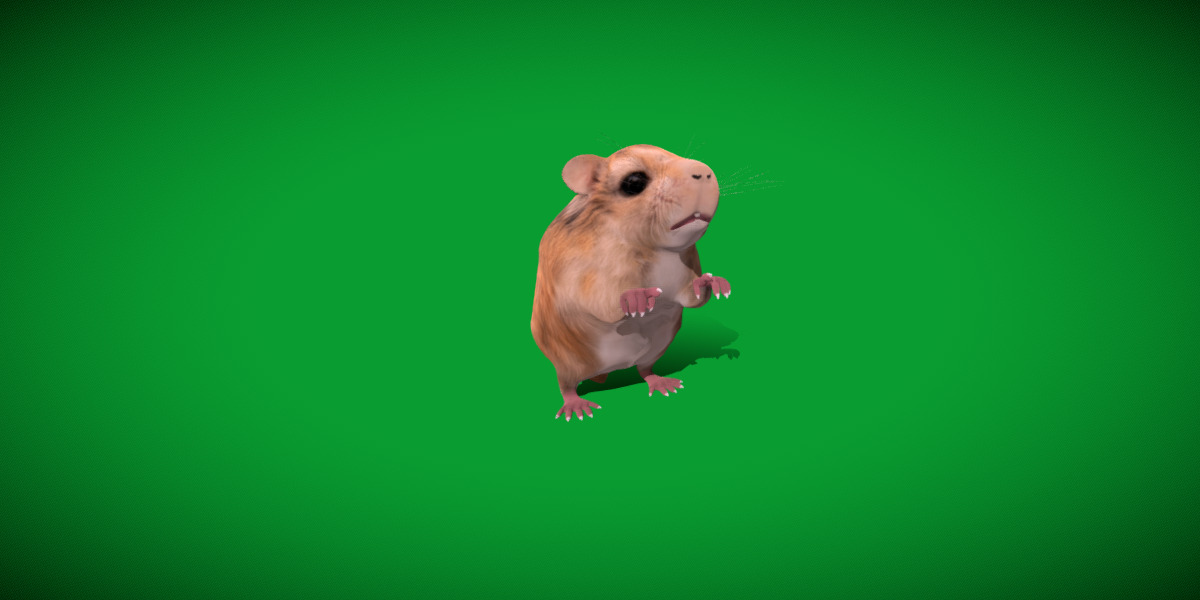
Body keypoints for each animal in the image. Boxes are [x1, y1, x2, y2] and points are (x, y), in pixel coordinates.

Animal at [531, 144, 732, 421]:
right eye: (634, 182)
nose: (702, 172)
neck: (655, 249)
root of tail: (610, 370)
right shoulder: (582, 269)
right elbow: (597, 300)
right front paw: (634, 298)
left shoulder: (684, 269)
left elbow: (693, 297)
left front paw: (712, 282)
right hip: (568, 362)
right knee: (566, 385)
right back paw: (576, 405)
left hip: (656, 348)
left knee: (644, 369)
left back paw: (660, 382)